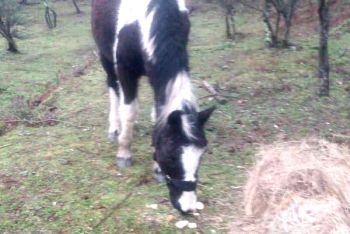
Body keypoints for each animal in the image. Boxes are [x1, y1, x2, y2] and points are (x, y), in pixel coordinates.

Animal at [90, 0, 215, 213]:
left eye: (201, 155)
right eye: (171, 156)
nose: (187, 206)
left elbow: (158, 115)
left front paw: (156, 168)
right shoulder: (125, 70)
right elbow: (129, 111)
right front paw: (124, 152)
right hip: (105, 57)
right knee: (113, 87)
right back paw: (115, 128)